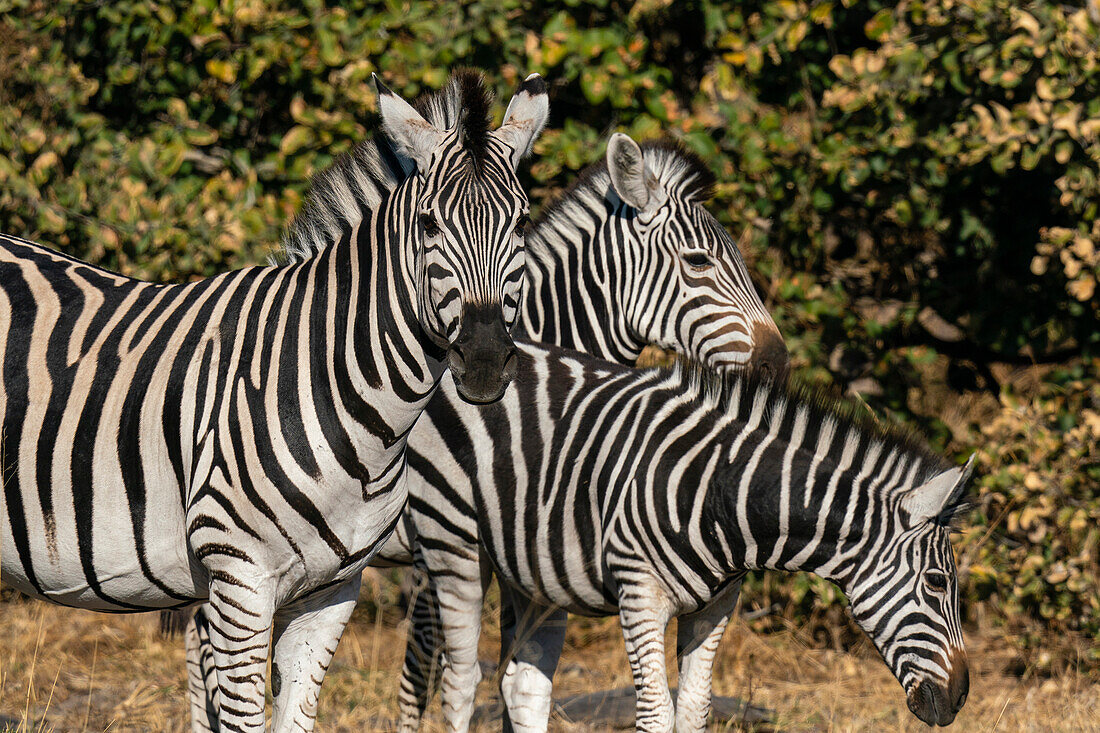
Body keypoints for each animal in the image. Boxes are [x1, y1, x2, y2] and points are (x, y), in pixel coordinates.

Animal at [396, 343, 972, 730]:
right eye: (938, 583)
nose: (960, 698)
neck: (723, 492)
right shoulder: (640, 595)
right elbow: (655, 713)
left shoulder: (716, 606)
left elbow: (695, 711)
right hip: (453, 544)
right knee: (458, 682)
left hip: (534, 571)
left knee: (524, 687)